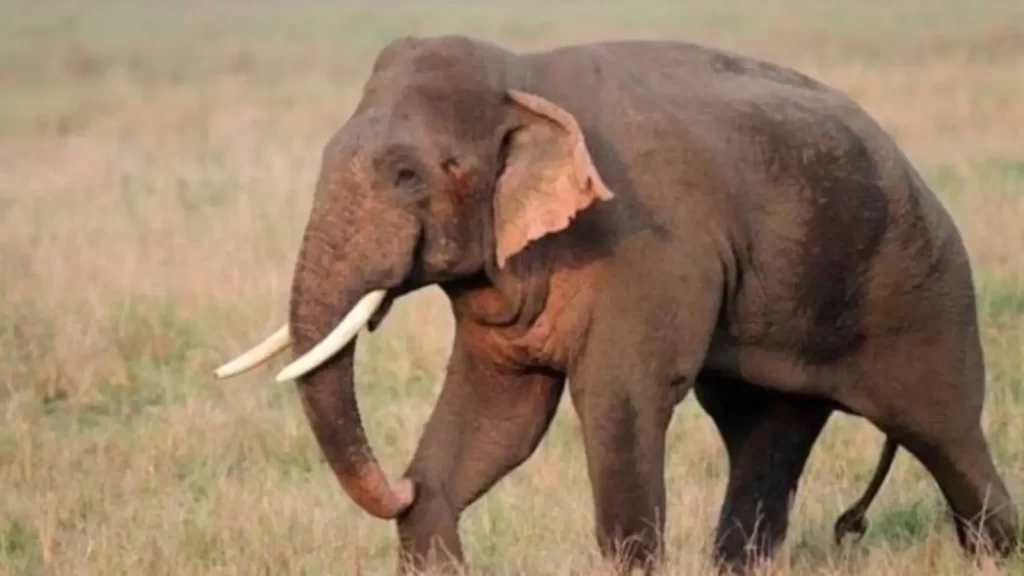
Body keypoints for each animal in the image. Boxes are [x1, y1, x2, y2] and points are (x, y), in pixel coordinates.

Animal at [213, 35, 1019, 574]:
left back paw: (995, 550)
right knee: (763, 434)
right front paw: (427, 496)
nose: (396, 482)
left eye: (408, 174)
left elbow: (616, 398)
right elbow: (499, 421)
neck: (523, 78)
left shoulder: (646, 250)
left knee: (945, 438)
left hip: (923, 289)